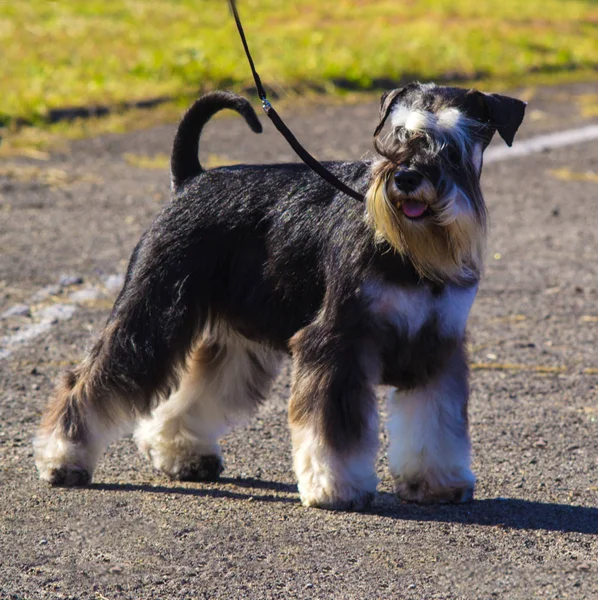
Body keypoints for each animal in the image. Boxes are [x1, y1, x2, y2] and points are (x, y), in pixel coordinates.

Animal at [34, 82, 524, 508]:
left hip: (235, 340)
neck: (408, 249)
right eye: (396, 136)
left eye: (453, 146)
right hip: (150, 316)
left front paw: (436, 482)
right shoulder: (337, 344)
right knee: (88, 380)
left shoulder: (437, 348)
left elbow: (436, 422)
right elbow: (332, 430)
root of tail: (191, 179)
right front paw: (334, 486)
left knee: (194, 389)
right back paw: (62, 459)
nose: (405, 177)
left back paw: (181, 454)